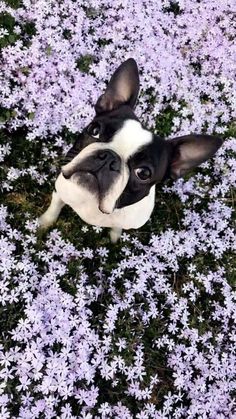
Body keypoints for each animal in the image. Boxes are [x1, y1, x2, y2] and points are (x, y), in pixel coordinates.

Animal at [38, 58, 223, 243]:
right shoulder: (60, 190)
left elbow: (117, 227)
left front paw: (114, 237)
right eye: (95, 130)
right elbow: (54, 207)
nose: (109, 158)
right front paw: (43, 223)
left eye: (143, 173)